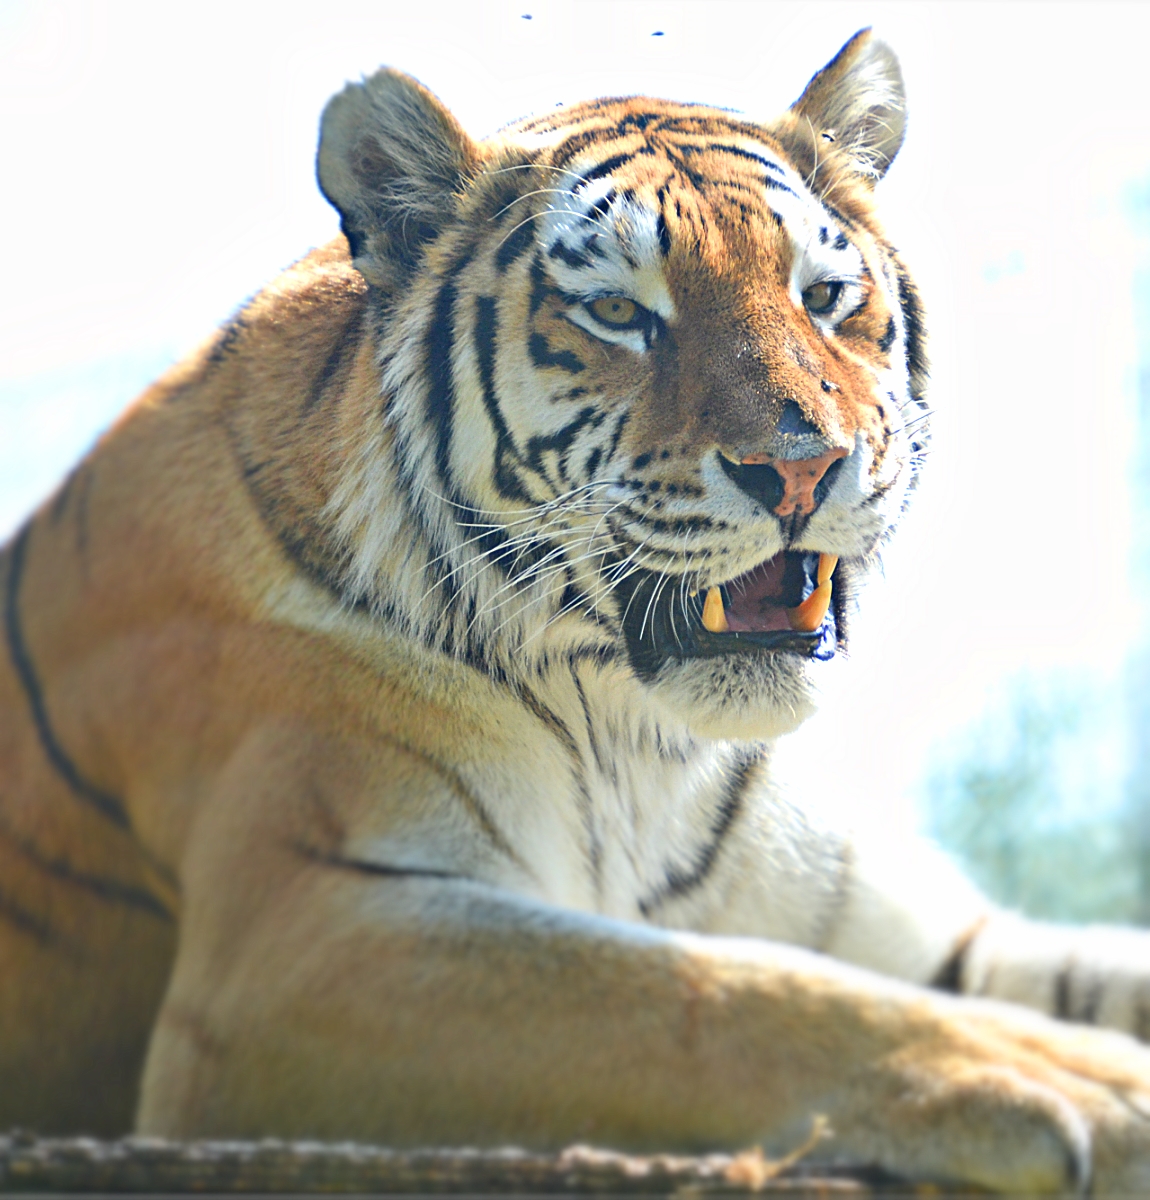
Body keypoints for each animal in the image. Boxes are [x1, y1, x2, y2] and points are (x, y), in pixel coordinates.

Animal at [3, 28, 1150, 1193]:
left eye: (825, 295)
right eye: (617, 313)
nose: (799, 470)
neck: (646, 745)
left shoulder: (915, 928)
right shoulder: (305, 938)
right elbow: (702, 992)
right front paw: (1097, 1089)